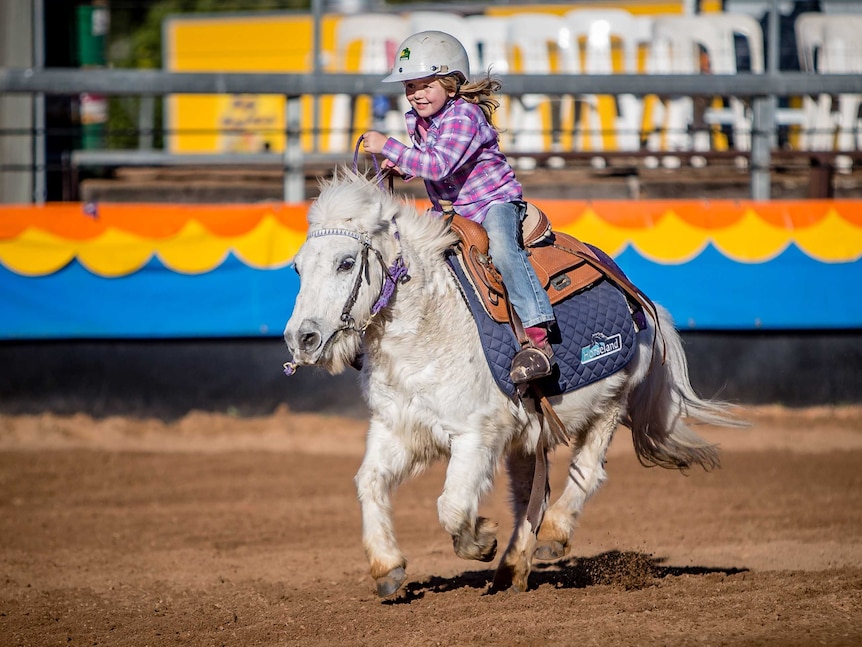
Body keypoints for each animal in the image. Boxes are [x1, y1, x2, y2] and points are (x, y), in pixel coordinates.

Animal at [284, 170, 744, 600]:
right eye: (297, 267)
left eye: (346, 262)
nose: (301, 338)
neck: (430, 326)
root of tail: (634, 293)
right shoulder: (397, 428)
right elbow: (369, 482)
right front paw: (387, 568)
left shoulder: (475, 436)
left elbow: (451, 505)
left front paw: (480, 538)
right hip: (529, 435)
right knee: (529, 498)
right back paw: (511, 568)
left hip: (610, 403)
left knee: (586, 471)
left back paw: (552, 536)